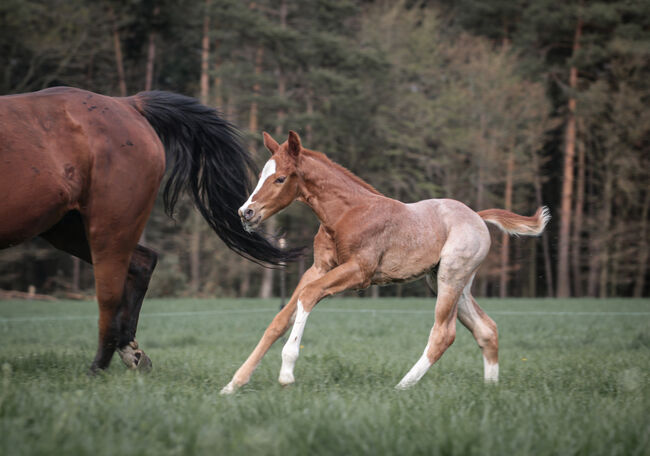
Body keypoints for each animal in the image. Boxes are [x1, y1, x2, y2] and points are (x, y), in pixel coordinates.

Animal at [0, 87, 297, 373]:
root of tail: (128, 104)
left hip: (106, 226)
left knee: (110, 292)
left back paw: (98, 368)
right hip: (65, 228)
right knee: (142, 263)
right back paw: (130, 351)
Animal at [220, 130, 549, 393]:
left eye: (280, 178)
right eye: (261, 176)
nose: (245, 212)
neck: (346, 214)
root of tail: (478, 217)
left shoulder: (359, 273)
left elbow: (309, 296)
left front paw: (286, 372)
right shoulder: (319, 268)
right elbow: (280, 319)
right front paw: (233, 384)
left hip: (451, 278)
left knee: (443, 334)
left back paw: (402, 387)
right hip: (448, 282)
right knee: (486, 329)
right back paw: (490, 388)